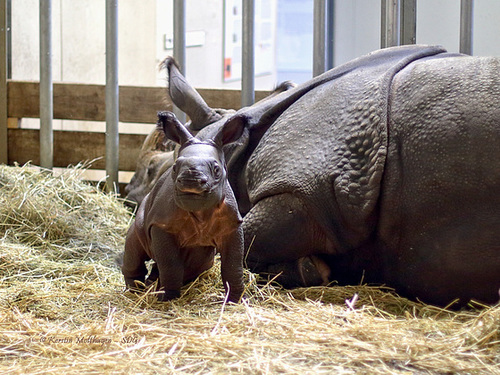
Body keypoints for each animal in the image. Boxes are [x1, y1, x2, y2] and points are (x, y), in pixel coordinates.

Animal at [122, 111, 245, 302]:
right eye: (174, 167)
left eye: (217, 170)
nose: (190, 179)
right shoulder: (161, 225)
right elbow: (170, 264)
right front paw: (167, 298)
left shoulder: (231, 226)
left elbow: (233, 266)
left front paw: (235, 300)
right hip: (140, 221)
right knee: (135, 248)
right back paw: (136, 291)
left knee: (198, 263)